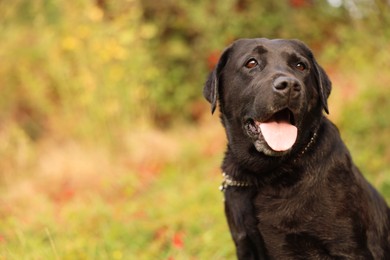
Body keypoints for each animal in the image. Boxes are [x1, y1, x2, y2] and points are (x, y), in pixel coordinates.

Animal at [204, 37, 390, 258]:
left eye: (301, 66)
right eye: (251, 63)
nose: (289, 85)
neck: (265, 175)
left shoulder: (348, 247)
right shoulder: (245, 244)